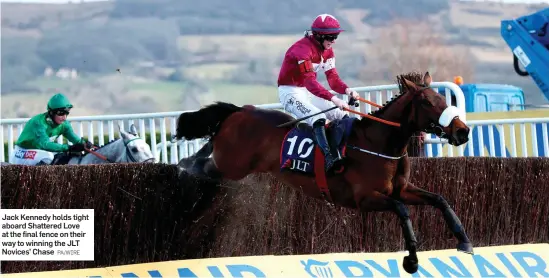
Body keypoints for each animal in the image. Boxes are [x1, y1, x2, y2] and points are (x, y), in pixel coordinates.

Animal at [174, 71, 470, 274]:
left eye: (442, 98)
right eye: (428, 103)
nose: (463, 131)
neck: (379, 142)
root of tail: (240, 111)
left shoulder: (401, 189)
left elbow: (439, 200)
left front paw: (464, 241)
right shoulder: (364, 198)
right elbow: (402, 210)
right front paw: (411, 260)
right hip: (232, 164)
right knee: (206, 162)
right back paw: (185, 164)